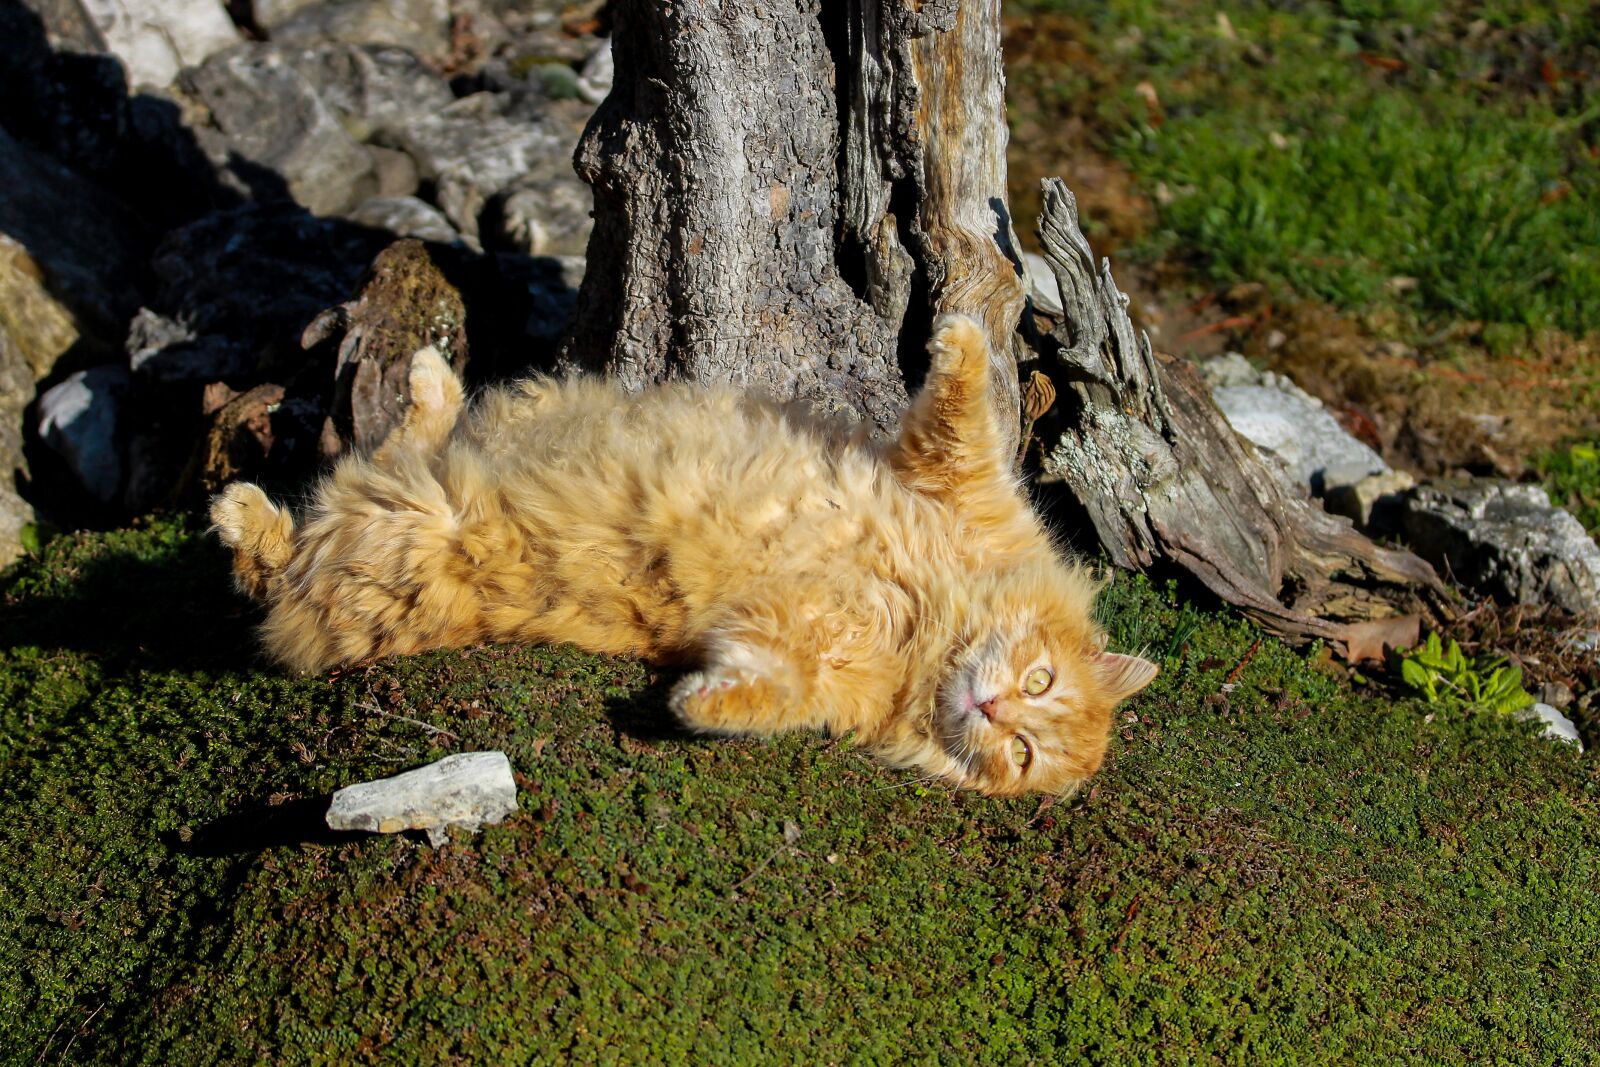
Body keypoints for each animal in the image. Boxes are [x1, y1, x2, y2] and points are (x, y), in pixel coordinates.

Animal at [216, 315, 1164, 793]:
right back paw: (424, 377)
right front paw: (961, 329)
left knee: (279, 554)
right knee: (384, 456)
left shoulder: (789, 651)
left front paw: (690, 703)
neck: (922, 629)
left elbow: (755, 693)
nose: (996, 709)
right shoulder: (963, 486)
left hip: (391, 537)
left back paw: (246, 505)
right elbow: (967, 405)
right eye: (1040, 681)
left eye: (1024, 755)